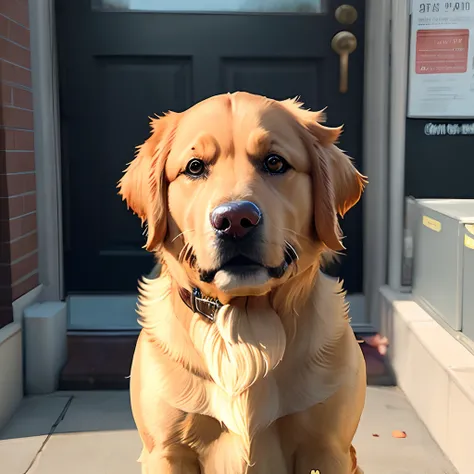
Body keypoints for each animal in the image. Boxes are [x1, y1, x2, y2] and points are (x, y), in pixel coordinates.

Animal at [117, 90, 366, 472]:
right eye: (195, 167)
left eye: (275, 163)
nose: (235, 220)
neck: (245, 319)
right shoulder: (167, 451)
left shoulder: (327, 448)